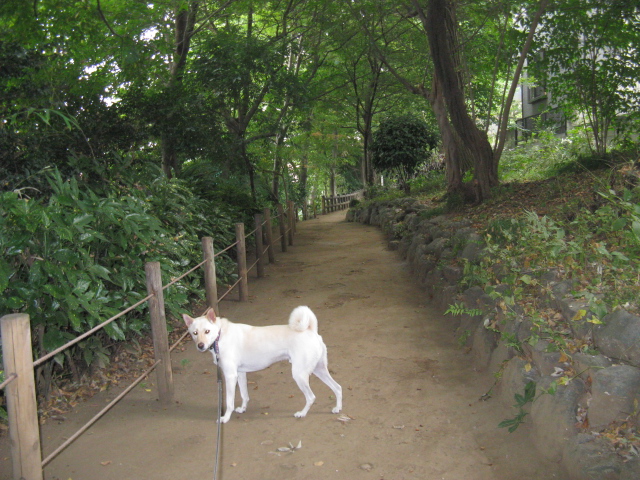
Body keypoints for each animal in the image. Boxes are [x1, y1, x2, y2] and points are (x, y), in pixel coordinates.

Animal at [182, 306, 342, 423]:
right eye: (194, 333)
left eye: (207, 331)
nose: (200, 346)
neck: (220, 335)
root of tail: (311, 330)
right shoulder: (240, 373)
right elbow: (245, 395)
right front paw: (243, 409)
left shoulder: (230, 376)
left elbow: (229, 402)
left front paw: (225, 418)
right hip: (319, 369)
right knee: (338, 387)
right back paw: (337, 408)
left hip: (299, 375)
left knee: (311, 397)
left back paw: (302, 413)